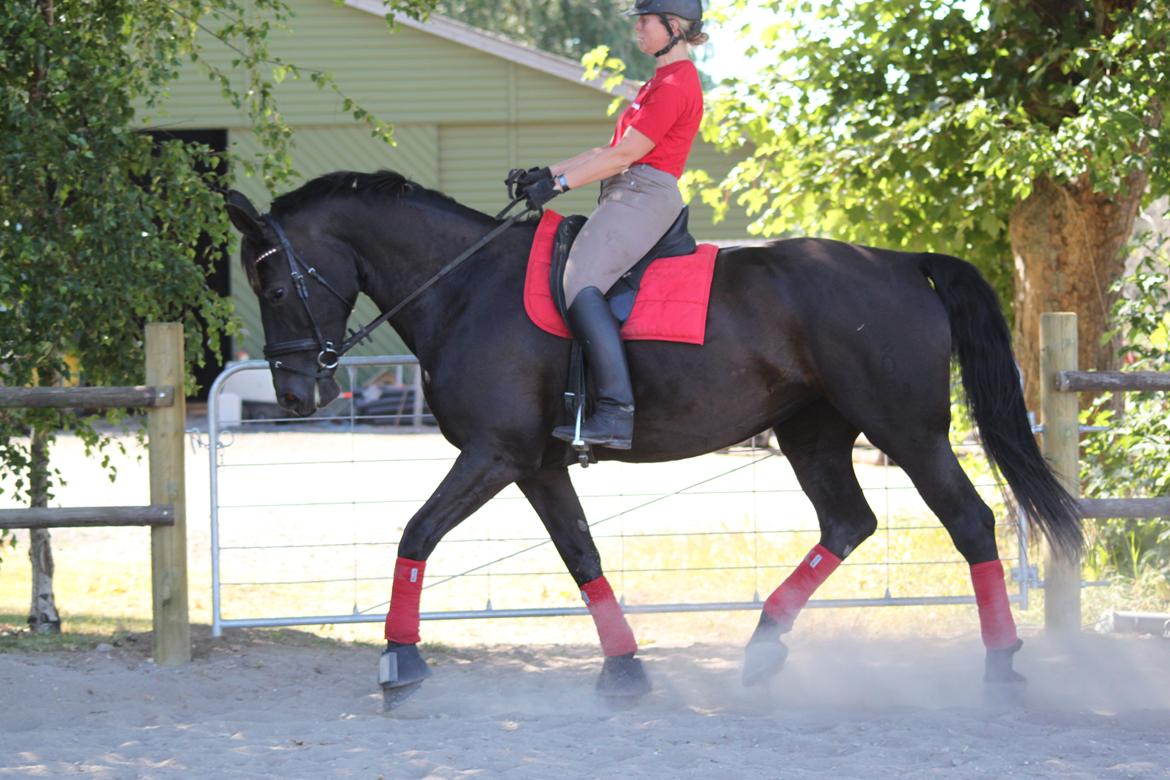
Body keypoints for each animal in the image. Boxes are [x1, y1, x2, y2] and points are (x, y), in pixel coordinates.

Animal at [223, 169, 1081, 706]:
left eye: (274, 284)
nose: (296, 395)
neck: (465, 286)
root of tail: (900, 263)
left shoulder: (495, 454)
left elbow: (417, 533)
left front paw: (400, 659)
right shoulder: (535, 464)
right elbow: (581, 555)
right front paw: (625, 670)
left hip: (908, 431)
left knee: (969, 522)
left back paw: (1002, 670)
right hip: (812, 434)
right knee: (848, 522)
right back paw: (761, 648)